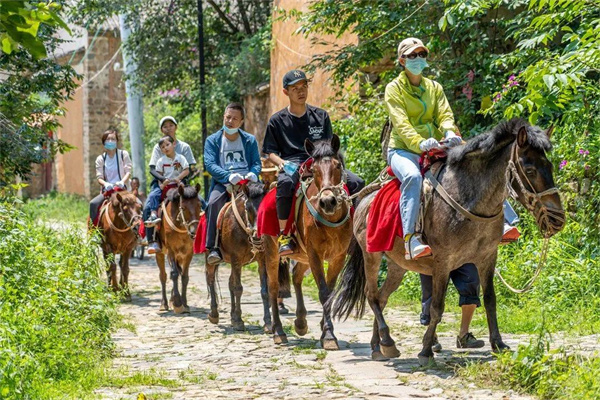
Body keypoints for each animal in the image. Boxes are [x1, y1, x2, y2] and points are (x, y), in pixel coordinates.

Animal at [156, 184, 203, 312]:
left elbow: (185, 277)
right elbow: (174, 274)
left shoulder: (188, 253)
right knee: (163, 276)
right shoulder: (171, 251)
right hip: (160, 253)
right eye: (184, 207)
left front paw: (184, 304)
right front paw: (177, 302)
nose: (194, 232)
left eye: (199, 205)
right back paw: (164, 303)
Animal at [262, 133, 354, 348]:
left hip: (302, 256)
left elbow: (329, 291)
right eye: (314, 169)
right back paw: (278, 331)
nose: (328, 201)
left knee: (296, 276)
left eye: (338, 166)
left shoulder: (338, 256)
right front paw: (328, 336)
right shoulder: (315, 255)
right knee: (273, 288)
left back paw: (301, 322)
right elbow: (323, 292)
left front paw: (324, 328)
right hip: (272, 253)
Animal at [328, 117, 568, 364]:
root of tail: (363, 201)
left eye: (550, 167)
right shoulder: (443, 262)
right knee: (372, 296)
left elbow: (490, 300)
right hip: (372, 256)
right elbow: (436, 307)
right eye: (529, 169)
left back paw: (378, 347)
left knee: (382, 298)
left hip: (397, 266)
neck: (468, 200)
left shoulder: (487, 258)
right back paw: (387, 341)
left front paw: (498, 344)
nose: (557, 219)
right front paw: (425, 350)